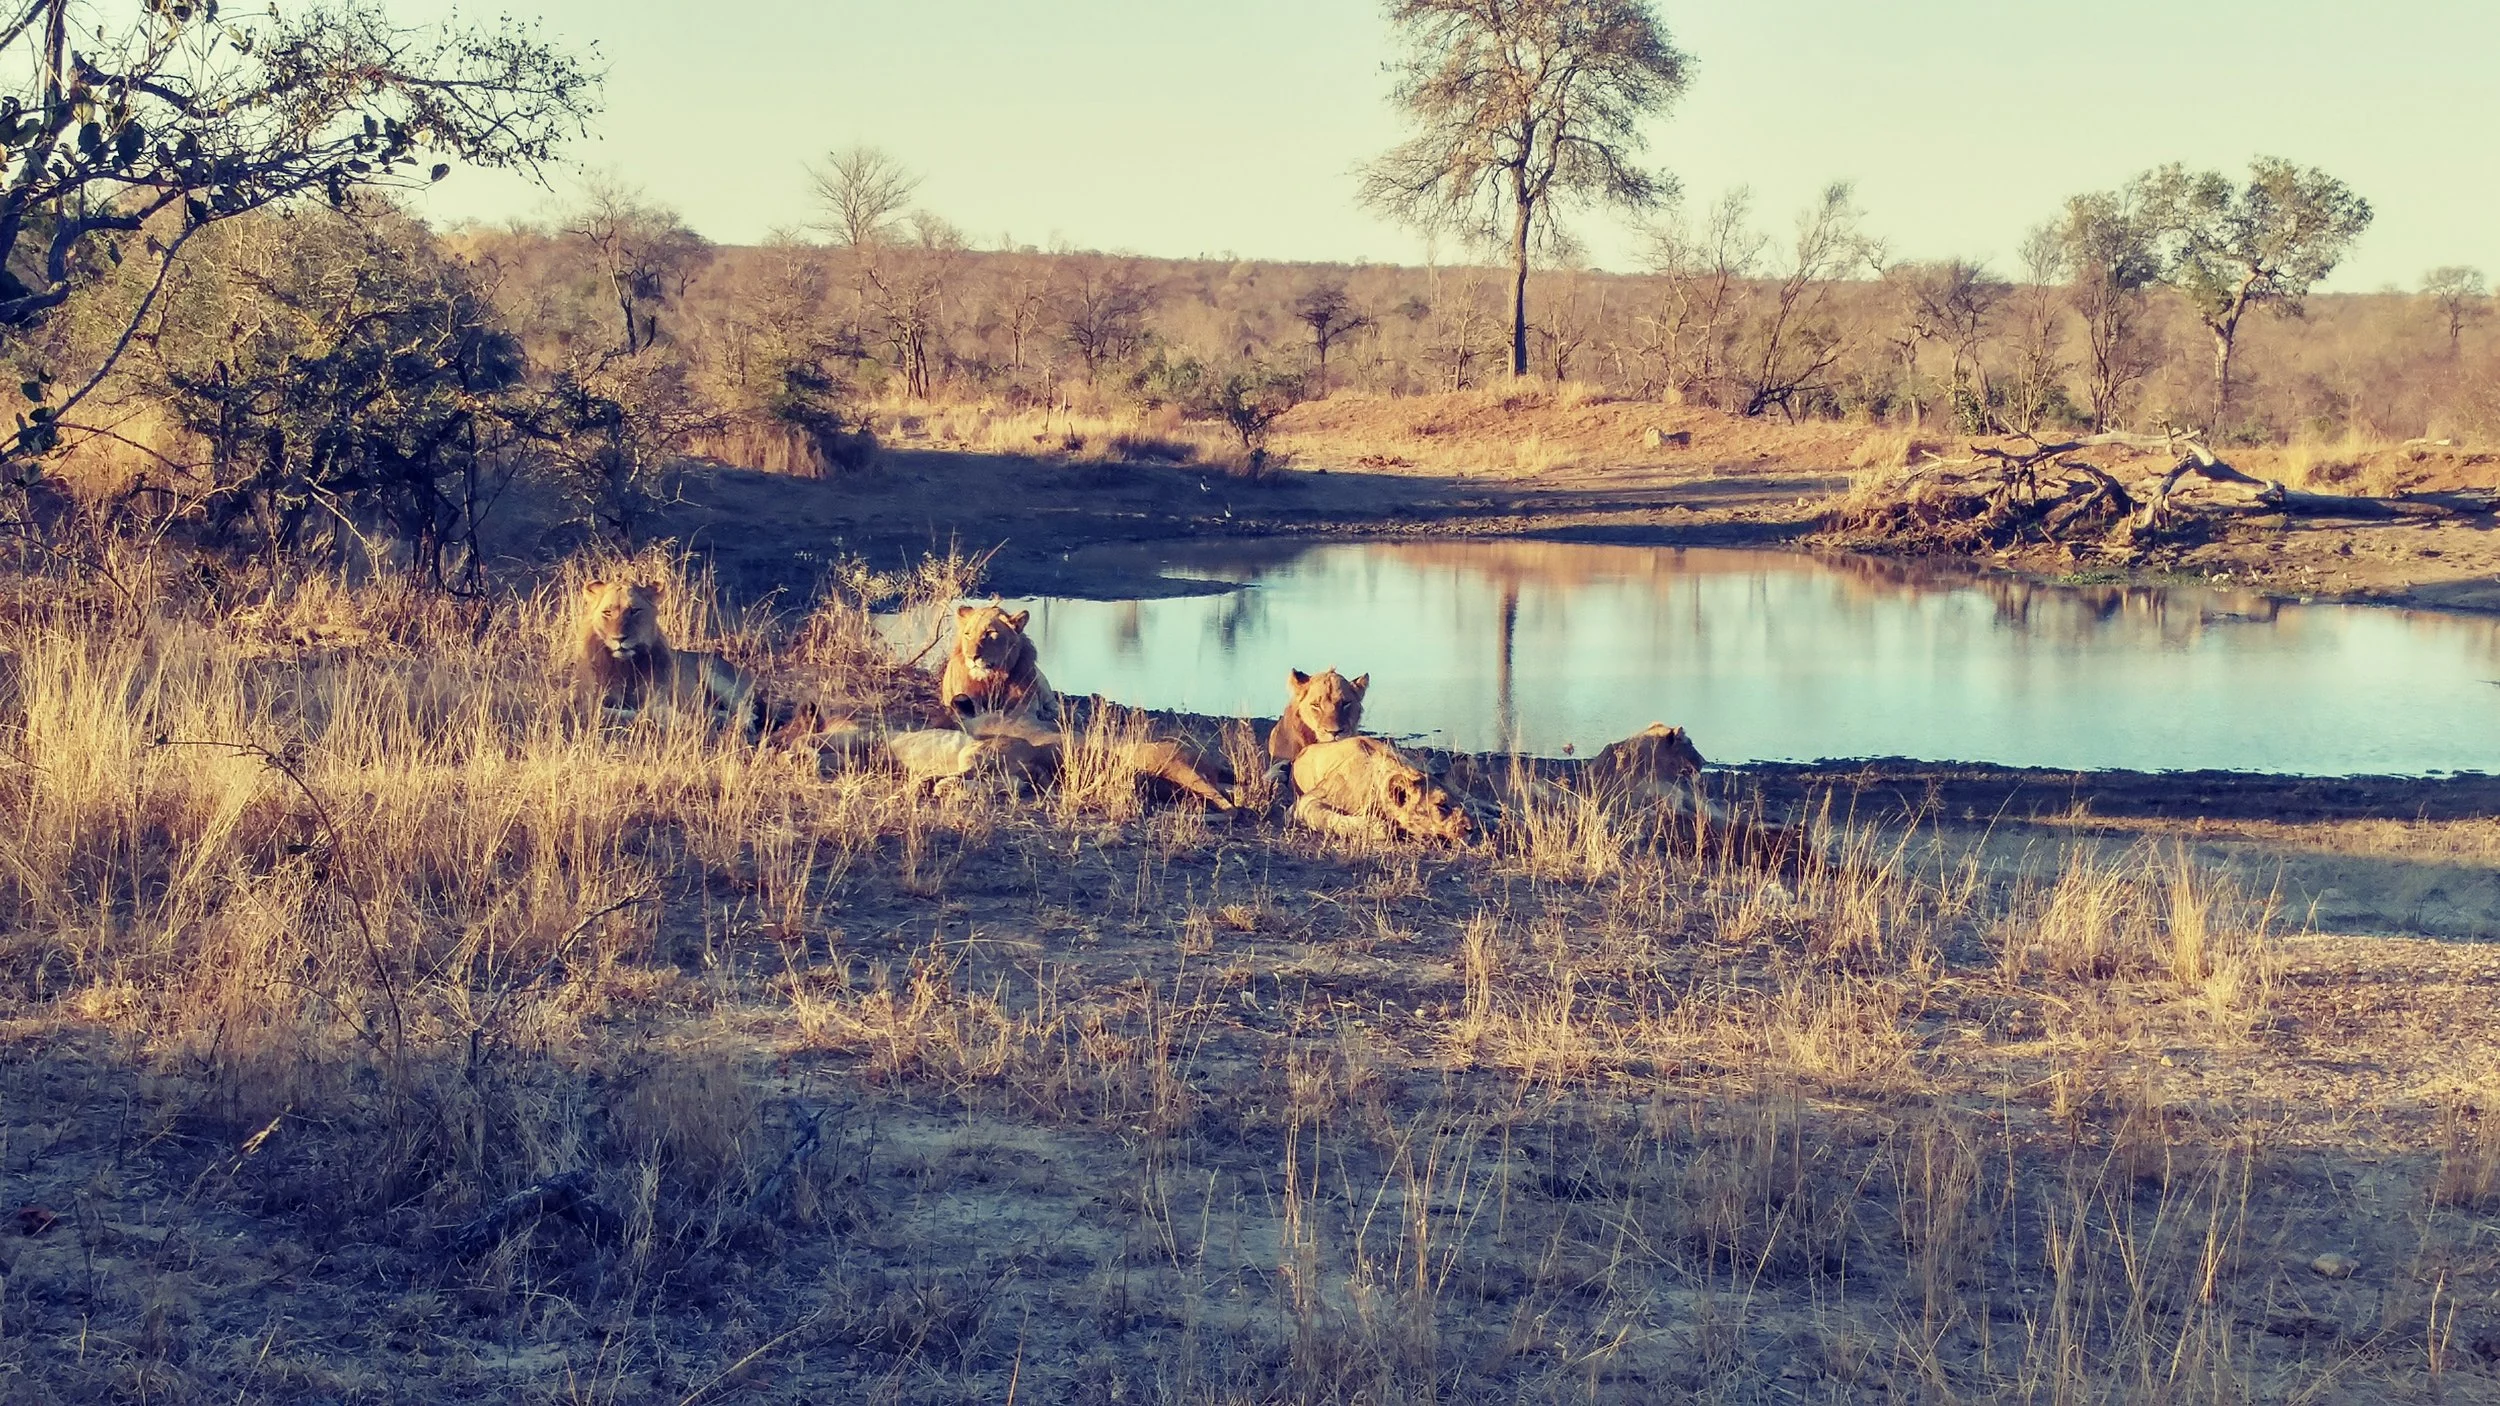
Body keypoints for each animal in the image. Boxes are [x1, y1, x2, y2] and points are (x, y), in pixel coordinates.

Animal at [576, 579, 765, 739]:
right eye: (607, 612)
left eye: (635, 610)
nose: (619, 638)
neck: (625, 666)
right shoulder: (587, 704)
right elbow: (615, 712)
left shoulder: (659, 695)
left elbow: (650, 709)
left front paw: (679, 720)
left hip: (712, 671)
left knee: (747, 711)